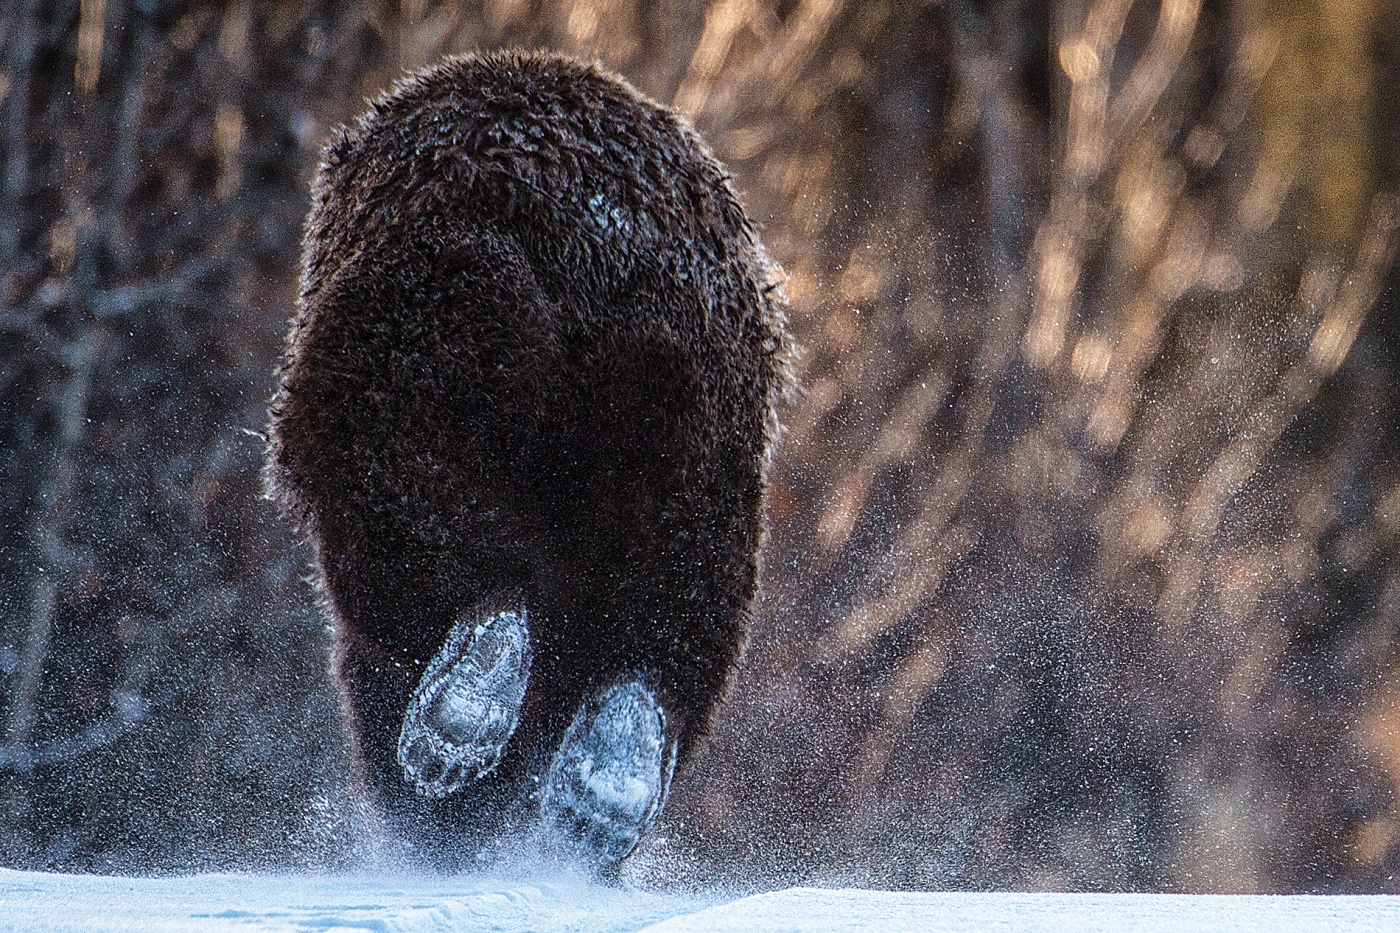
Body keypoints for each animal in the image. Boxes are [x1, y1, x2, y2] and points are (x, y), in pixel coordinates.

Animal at [263, 49, 789, 862]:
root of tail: (602, 243)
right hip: (706, 409)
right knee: (687, 588)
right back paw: (606, 774)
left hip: (439, 312)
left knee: (416, 513)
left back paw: (460, 712)